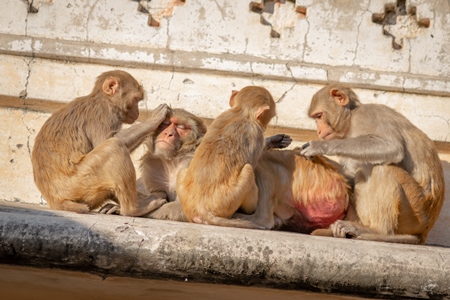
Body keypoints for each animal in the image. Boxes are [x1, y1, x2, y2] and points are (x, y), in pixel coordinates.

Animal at [31, 69, 171, 217]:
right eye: (136, 99)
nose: (138, 112)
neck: (104, 99)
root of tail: (56, 201)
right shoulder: (103, 113)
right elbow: (107, 141)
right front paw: (153, 121)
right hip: (79, 183)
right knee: (114, 146)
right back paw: (133, 209)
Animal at [177, 86, 278, 230]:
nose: (265, 127)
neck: (241, 112)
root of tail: (201, 208)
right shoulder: (257, 135)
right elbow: (254, 162)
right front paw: (271, 142)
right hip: (229, 201)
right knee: (248, 169)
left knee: (181, 171)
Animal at [300, 82, 444, 244]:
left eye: (319, 116)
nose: (318, 131)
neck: (351, 119)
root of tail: (424, 232)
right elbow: (351, 174)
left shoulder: (367, 115)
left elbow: (392, 147)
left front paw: (319, 147)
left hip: (416, 210)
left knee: (381, 168)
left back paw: (377, 231)